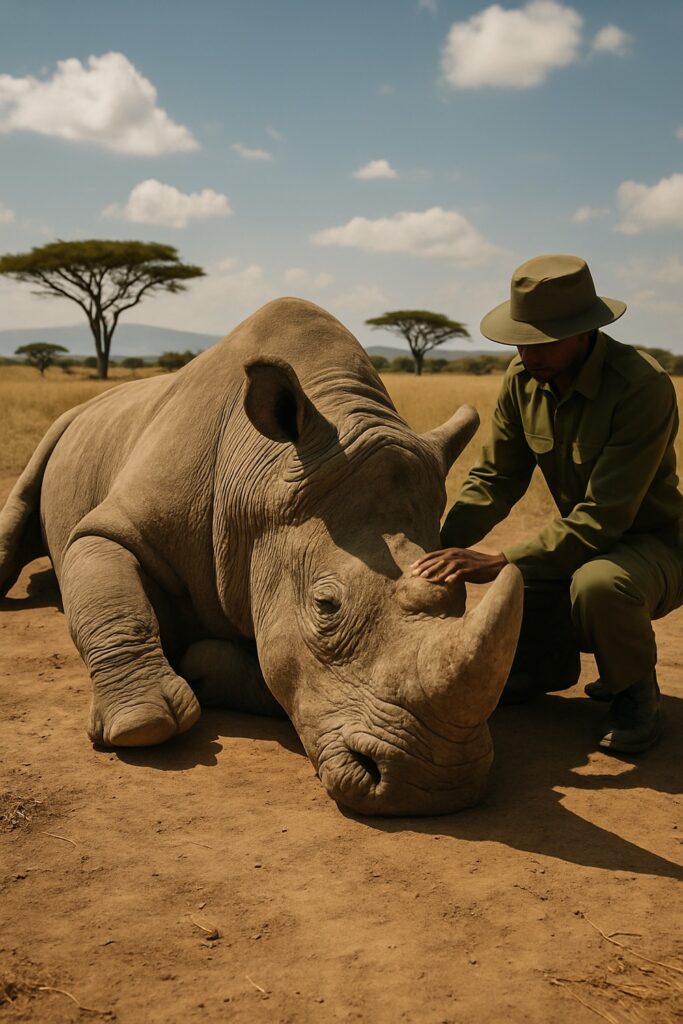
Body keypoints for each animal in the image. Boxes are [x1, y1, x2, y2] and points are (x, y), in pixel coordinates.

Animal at [0, 298, 523, 816]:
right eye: (326, 606)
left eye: (460, 599)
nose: (434, 786)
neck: (260, 481)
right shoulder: (117, 526)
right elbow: (110, 586)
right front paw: (141, 723)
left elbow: (277, 672)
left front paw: (204, 666)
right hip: (66, 422)